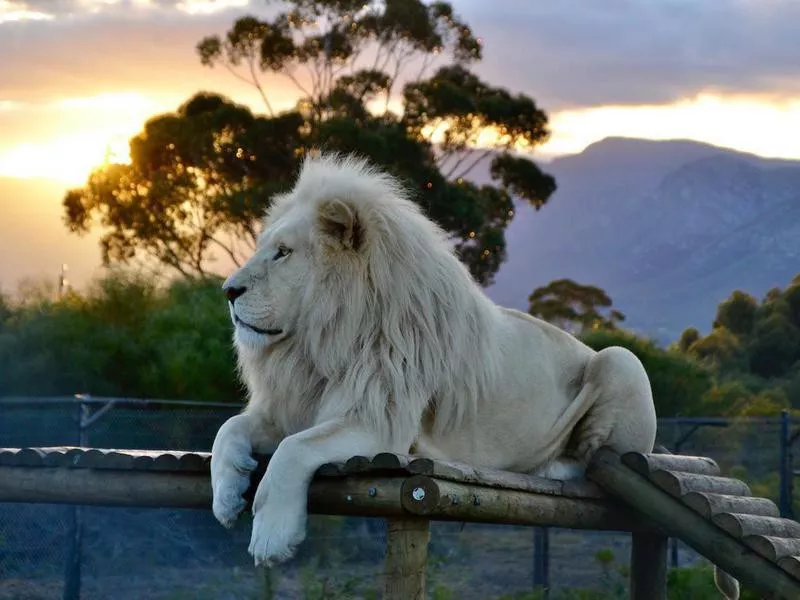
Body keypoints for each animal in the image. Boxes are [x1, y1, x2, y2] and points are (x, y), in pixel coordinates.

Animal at [212, 151, 656, 568]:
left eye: (282, 253)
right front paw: (226, 496)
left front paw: (272, 537)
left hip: (621, 361)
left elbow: (294, 449)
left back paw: (549, 466)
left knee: (596, 461)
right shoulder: (295, 407)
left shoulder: (382, 423)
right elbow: (229, 429)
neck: (316, 344)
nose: (227, 291)